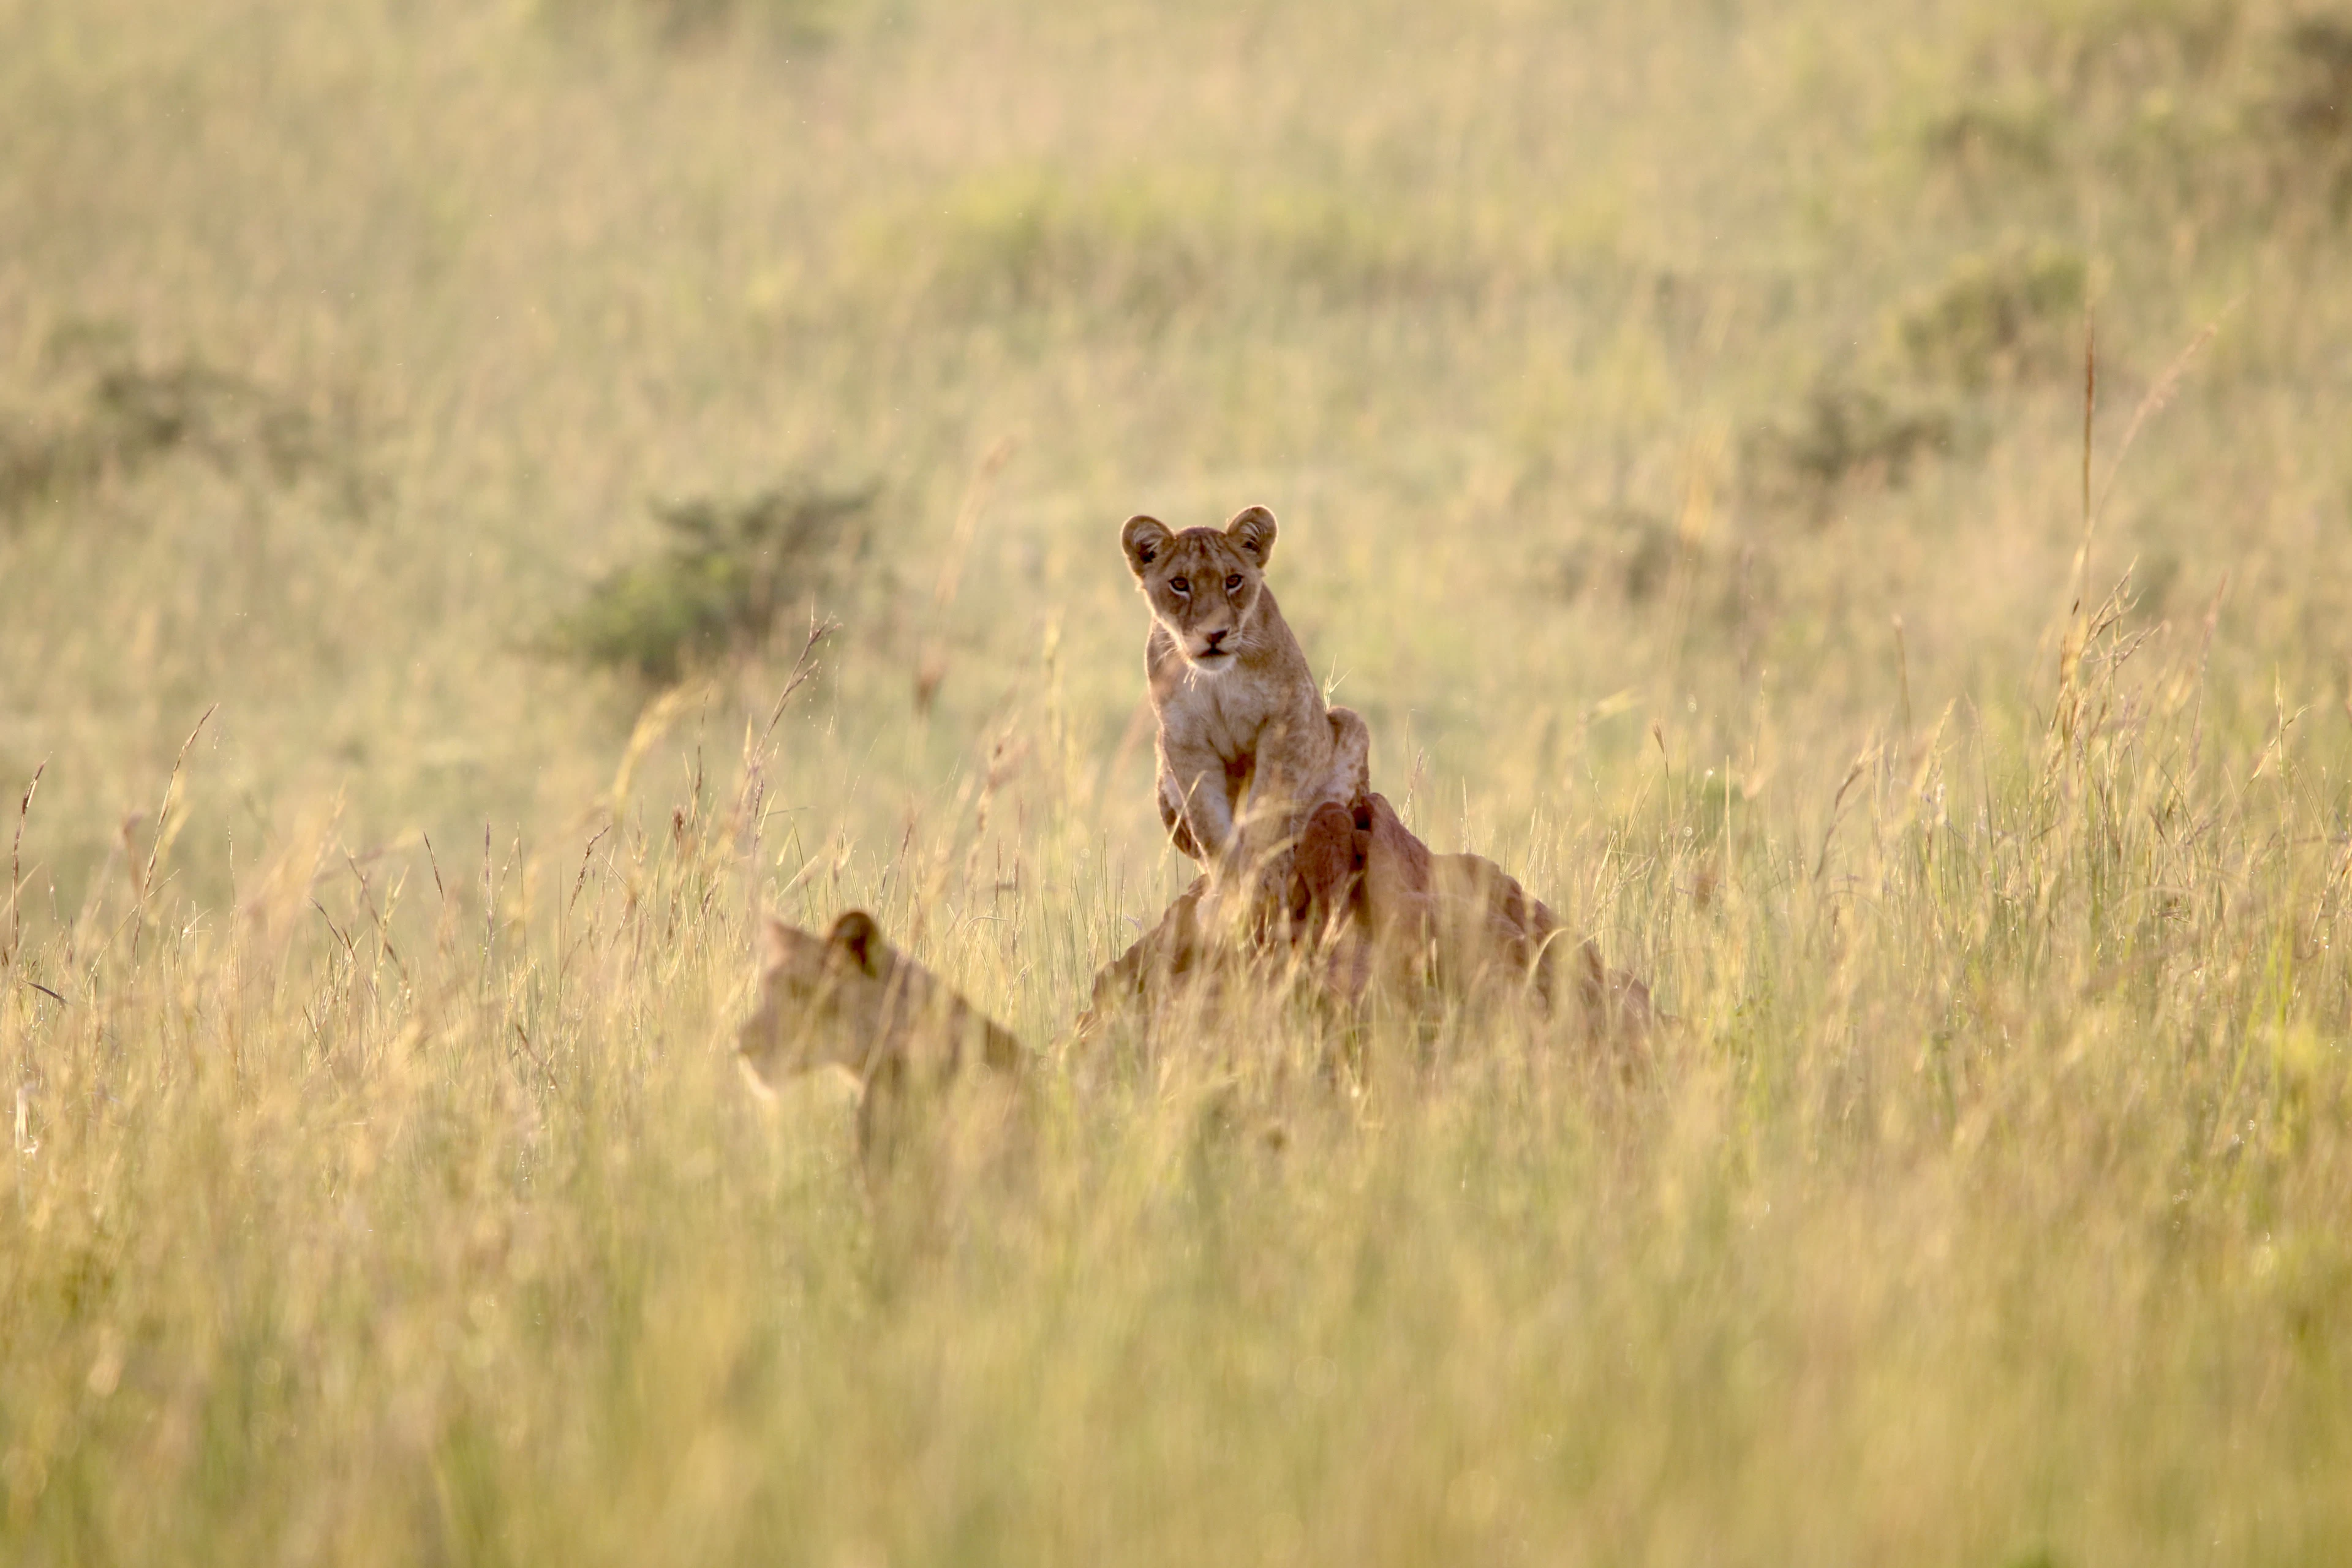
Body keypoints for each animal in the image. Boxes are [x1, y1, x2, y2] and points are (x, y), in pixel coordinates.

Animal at [1120, 504, 1371, 913]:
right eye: (1180, 584)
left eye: (1233, 580)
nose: (1215, 634)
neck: (1216, 678)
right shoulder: (1184, 740)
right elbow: (1209, 822)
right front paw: (1229, 893)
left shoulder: (1285, 719)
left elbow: (1266, 808)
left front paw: (1262, 882)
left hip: (1349, 727)